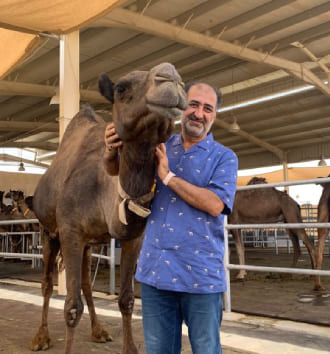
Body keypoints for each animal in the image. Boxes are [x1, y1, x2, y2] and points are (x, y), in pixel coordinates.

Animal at [29, 63, 187, 354]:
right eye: (121, 88)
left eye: (184, 82)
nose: (171, 78)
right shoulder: (70, 231)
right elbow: (71, 306)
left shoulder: (133, 237)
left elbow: (126, 299)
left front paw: (130, 347)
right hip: (48, 231)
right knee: (46, 284)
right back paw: (41, 337)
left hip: (87, 244)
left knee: (86, 285)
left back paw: (99, 330)